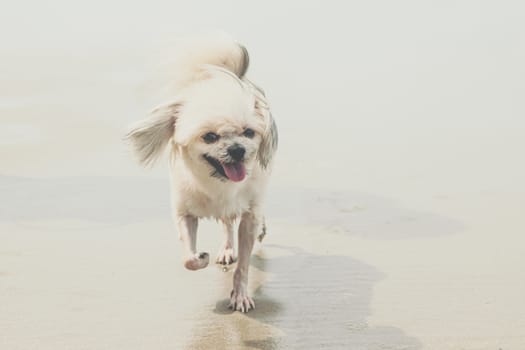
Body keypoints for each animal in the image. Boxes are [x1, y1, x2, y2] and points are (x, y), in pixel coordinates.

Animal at [124, 32, 276, 312]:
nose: (237, 149)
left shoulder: (249, 213)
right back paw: (226, 248)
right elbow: (188, 259)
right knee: (226, 223)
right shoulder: (185, 213)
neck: (218, 184)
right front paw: (200, 257)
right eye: (210, 137)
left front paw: (240, 294)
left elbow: (244, 264)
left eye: (249, 132)